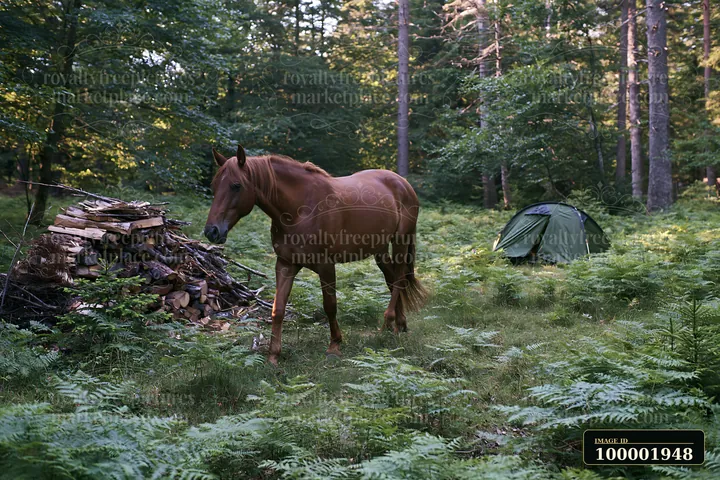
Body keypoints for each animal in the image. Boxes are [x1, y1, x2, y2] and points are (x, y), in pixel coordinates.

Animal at [204, 145, 426, 365]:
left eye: (236, 185)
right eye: (214, 185)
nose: (211, 231)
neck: (299, 210)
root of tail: (403, 183)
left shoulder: (326, 265)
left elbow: (330, 305)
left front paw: (334, 346)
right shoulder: (285, 264)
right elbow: (278, 309)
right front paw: (273, 356)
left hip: (400, 241)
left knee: (399, 279)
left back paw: (388, 322)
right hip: (378, 250)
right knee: (392, 279)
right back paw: (399, 324)